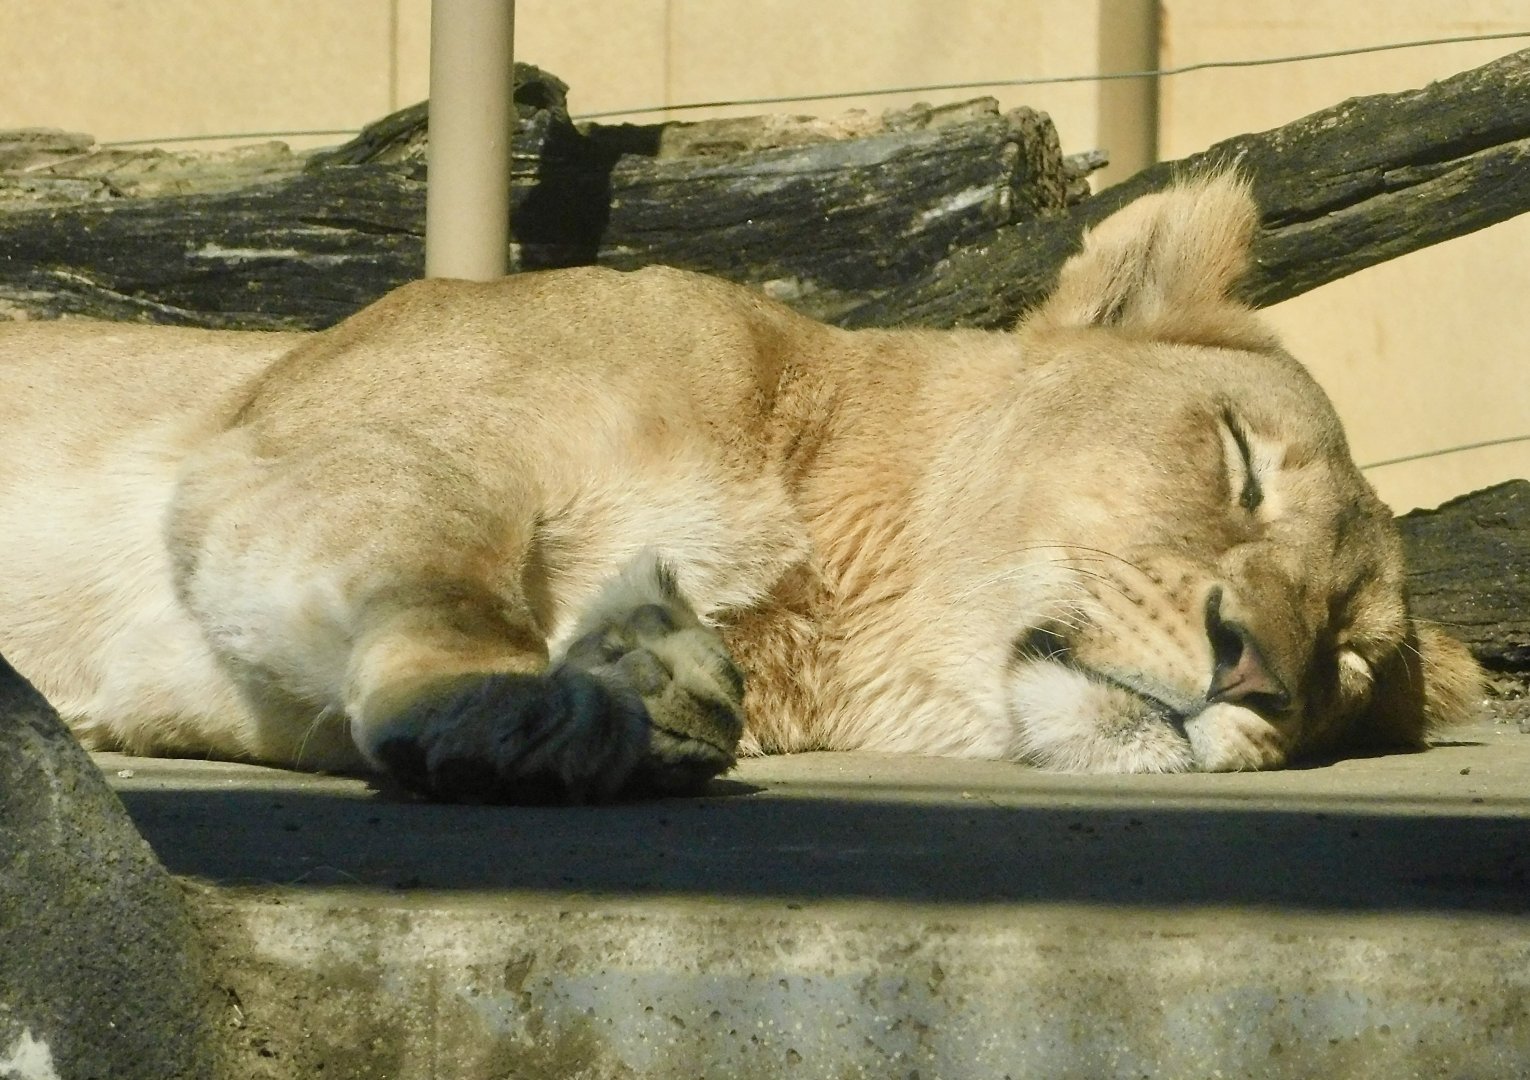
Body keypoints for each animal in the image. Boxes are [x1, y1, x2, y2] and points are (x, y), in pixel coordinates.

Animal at [0, 174, 1480, 802]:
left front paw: (647, 679)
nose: (1257, 676)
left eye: (1350, 664)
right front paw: (516, 705)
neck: (819, 595)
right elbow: (442, 571)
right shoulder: (333, 433)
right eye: (1237, 465)